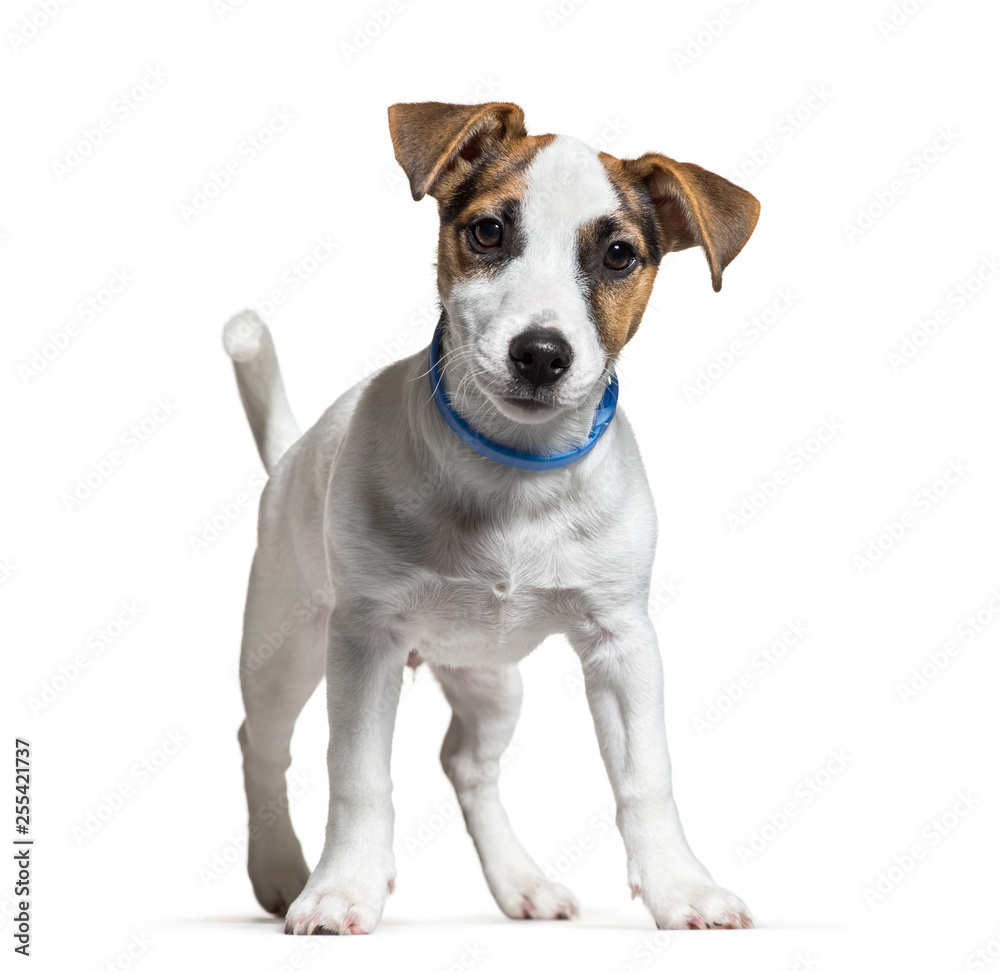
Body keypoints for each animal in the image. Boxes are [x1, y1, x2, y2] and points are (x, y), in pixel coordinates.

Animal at [225, 98, 756, 936]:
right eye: (487, 231)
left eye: (618, 254)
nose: (541, 352)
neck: (515, 470)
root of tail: (293, 453)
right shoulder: (364, 642)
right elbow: (357, 775)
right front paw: (342, 888)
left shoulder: (623, 643)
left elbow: (646, 776)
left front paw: (682, 888)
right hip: (284, 648)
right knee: (263, 743)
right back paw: (279, 867)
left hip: (491, 677)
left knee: (466, 761)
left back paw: (521, 881)